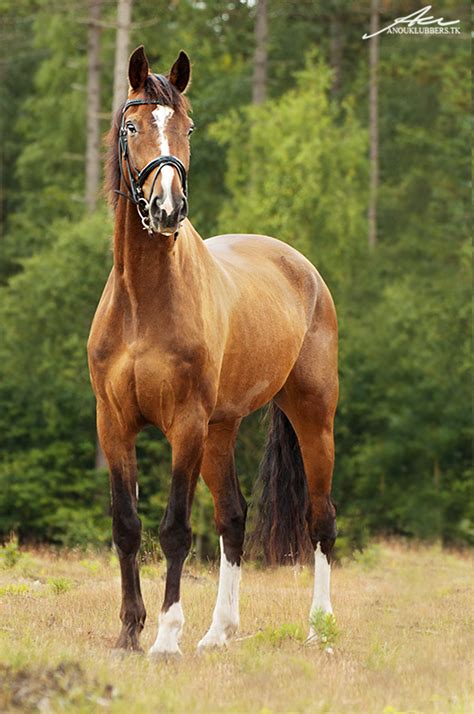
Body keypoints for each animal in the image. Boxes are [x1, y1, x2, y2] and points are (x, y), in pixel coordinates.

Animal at [87, 46, 338, 656]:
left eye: (187, 127)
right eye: (133, 126)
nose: (167, 208)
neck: (144, 301)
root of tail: (303, 268)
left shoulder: (186, 424)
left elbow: (175, 528)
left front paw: (165, 637)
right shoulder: (114, 423)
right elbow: (126, 525)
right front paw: (129, 631)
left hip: (312, 417)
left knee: (321, 518)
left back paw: (319, 630)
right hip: (222, 431)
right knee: (235, 517)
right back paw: (219, 632)